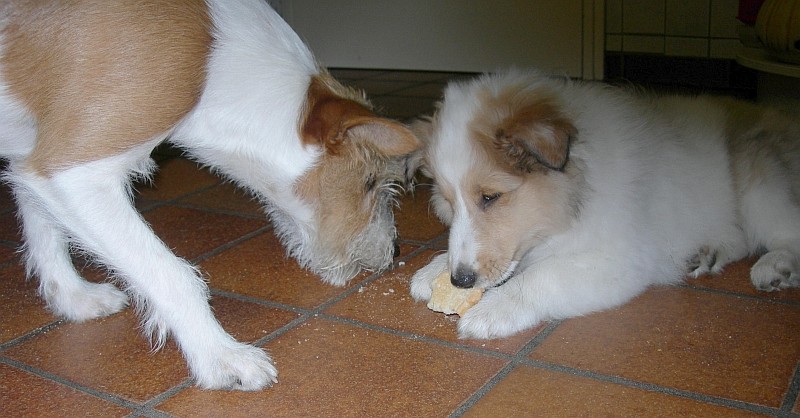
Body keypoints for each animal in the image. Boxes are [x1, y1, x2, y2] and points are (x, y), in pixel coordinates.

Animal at [1, 0, 418, 392]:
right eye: (368, 183)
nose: (396, 250)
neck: (217, 65)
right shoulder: (70, 172)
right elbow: (173, 275)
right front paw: (222, 357)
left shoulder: (31, 157)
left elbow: (44, 230)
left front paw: (73, 299)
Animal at [412, 68, 800, 340]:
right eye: (449, 202)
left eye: (490, 197)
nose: (460, 280)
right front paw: (432, 271)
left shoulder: (623, 259)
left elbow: (543, 276)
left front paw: (494, 311)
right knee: (740, 238)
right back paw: (704, 254)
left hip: (760, 186)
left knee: (785, 232)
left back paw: (773, 268)